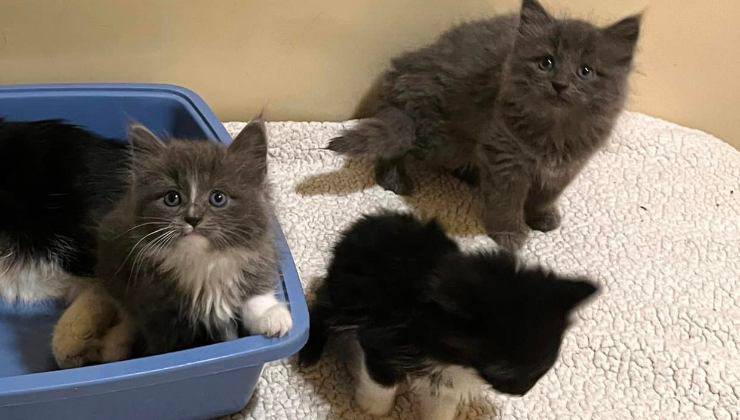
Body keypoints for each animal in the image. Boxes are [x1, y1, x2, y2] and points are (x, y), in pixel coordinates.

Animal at [91, 120, 292, 356]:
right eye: (172, 198)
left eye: (218, 197)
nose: (193, 218)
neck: (203, 261)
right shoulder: (155, 308)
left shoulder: (259, 254)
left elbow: (256, 291)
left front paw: (271, 316)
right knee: (126, 315)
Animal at [299, 212, 599, 419]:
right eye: (502, 371)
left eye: (543, 368)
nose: (522, 392)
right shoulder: (383, 339)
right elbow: (382, 382)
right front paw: (372, 409)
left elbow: (443, 397)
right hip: (345, 297)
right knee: (320, 309)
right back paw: (310, 354)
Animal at [328, 0, 641, 251]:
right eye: (546, 62)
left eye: (585, 71)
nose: (560, 84)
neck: (555, 131)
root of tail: (401, 72)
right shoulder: (505, 157)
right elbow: (506, 202)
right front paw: (509, 234)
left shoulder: (567, 168)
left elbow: (544, 196)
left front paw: (541, 217)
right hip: (438, 136)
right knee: (397, 146)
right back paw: (395, 179)